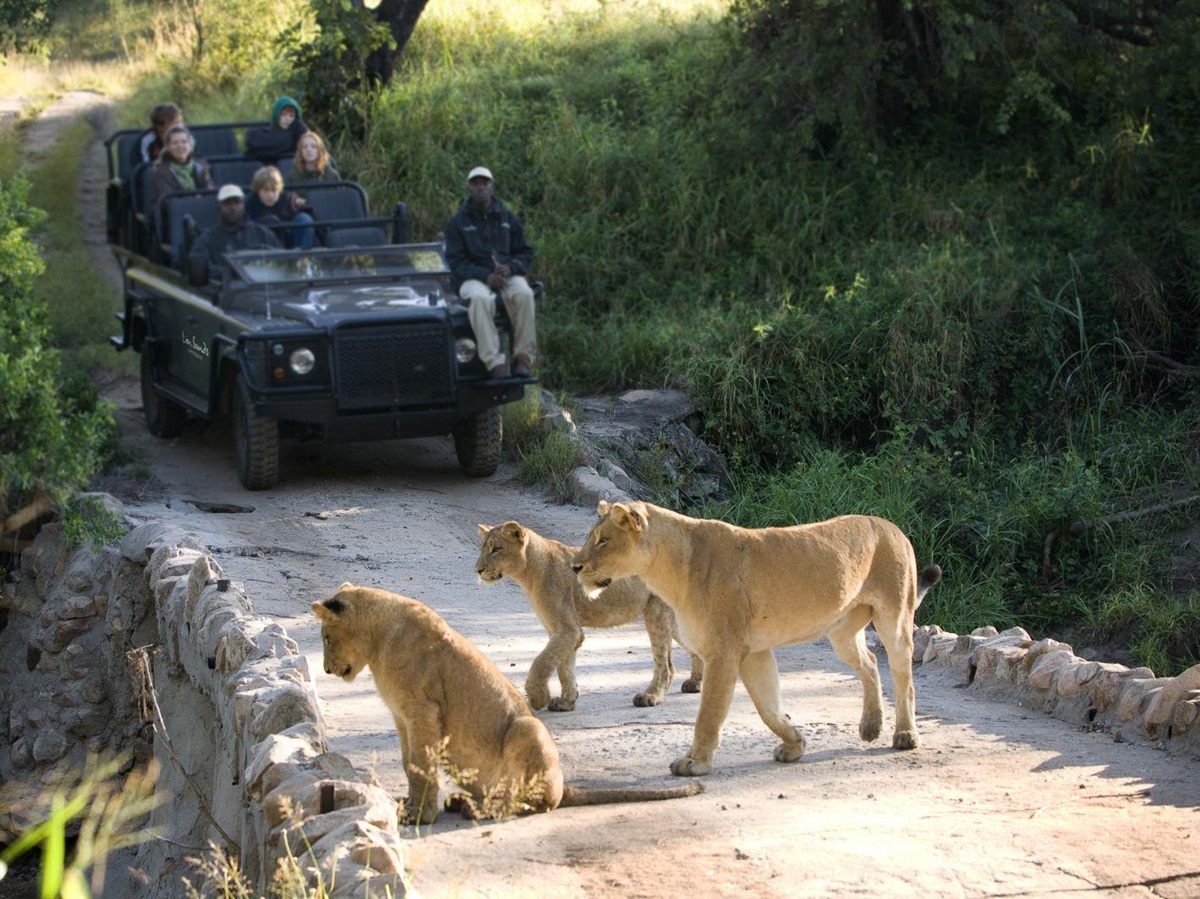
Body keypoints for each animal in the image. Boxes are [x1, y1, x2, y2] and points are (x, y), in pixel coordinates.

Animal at [312, 583, 703, 823]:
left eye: (327, 637)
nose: (326, 668)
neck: (379, 637)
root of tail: (565, 783)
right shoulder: (401, 718)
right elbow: (410, 764)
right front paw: (408, 806)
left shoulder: (423, 712)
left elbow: (420, 766)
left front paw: (419, 816)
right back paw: (464, 802)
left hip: (528, 727)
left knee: (536, 802)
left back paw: (476, 810)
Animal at [476, 521, 702, 711]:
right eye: (483, 548)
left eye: (496, 549)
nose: (478, 569)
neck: (529, 570)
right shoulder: (562, 631)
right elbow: (564, 667)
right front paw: (567, 701)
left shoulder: (568, 629)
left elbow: (542, 662)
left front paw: (538, 698)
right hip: (672, 619)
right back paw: (695, 683)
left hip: (656, 612)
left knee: (665, 665)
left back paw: (650, 696)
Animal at [571, 501, 942, 777]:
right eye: (591, 537)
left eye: (603, 540)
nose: (575, 567)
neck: (668, 568)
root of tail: (893, 527)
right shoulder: (753, 652)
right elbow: (768, 708)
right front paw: (795, 744)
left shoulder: (723, 651)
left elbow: (709, 713)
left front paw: (695, 762)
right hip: (841, 631)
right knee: (871, 663)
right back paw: (870, 726)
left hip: (894, 618)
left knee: (903, 676)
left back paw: (905, 734)